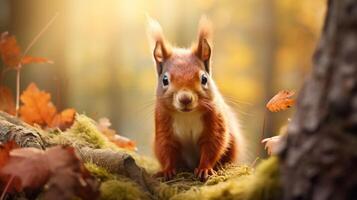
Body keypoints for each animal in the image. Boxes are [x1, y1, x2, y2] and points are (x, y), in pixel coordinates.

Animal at [146, 16, 243, 180]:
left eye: (204, 78)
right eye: (165, 80)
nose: (185, 99)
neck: (187, 116)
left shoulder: (215, 120)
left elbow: (212, 146)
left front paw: (205, 169)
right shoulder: (162, 122)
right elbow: (166, 148)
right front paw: (167, 170)